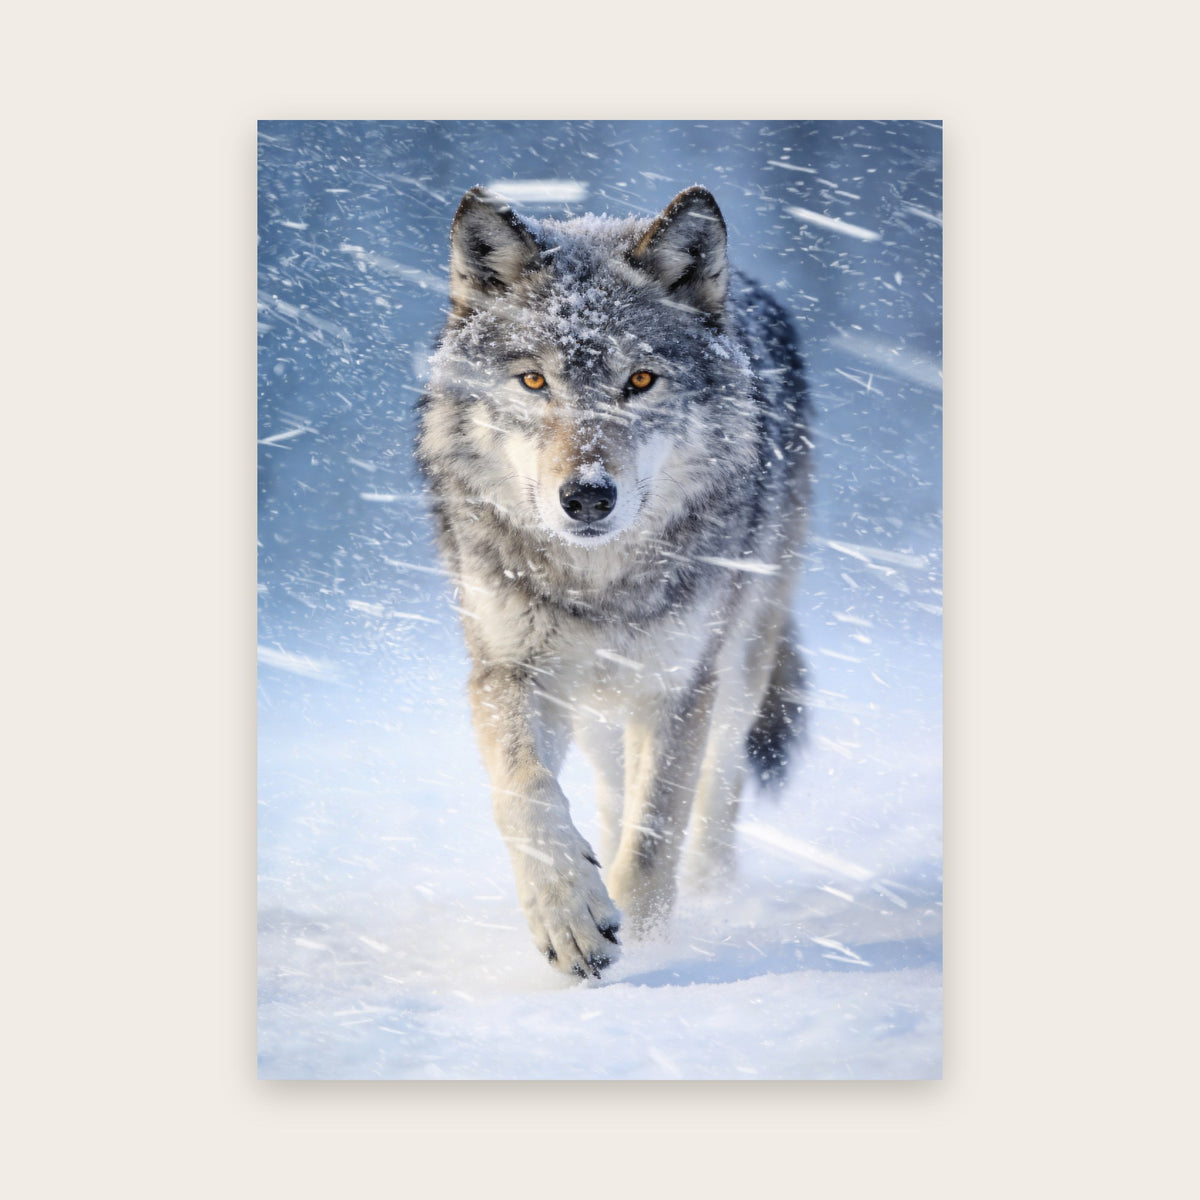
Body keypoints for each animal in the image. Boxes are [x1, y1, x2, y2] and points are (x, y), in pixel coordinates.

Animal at [417, 185, 811, 979]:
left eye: (640, 381)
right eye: (534, 380)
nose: (589, 497)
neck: (595, 584)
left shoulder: (678, 685)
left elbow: (657, 831)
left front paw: (654, 956)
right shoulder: (507, 670)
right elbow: (527, 793)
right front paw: (571, 917)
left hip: (737, 667)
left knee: (718, 793)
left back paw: (716, 900)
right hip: (599, 701)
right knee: (604, 790)